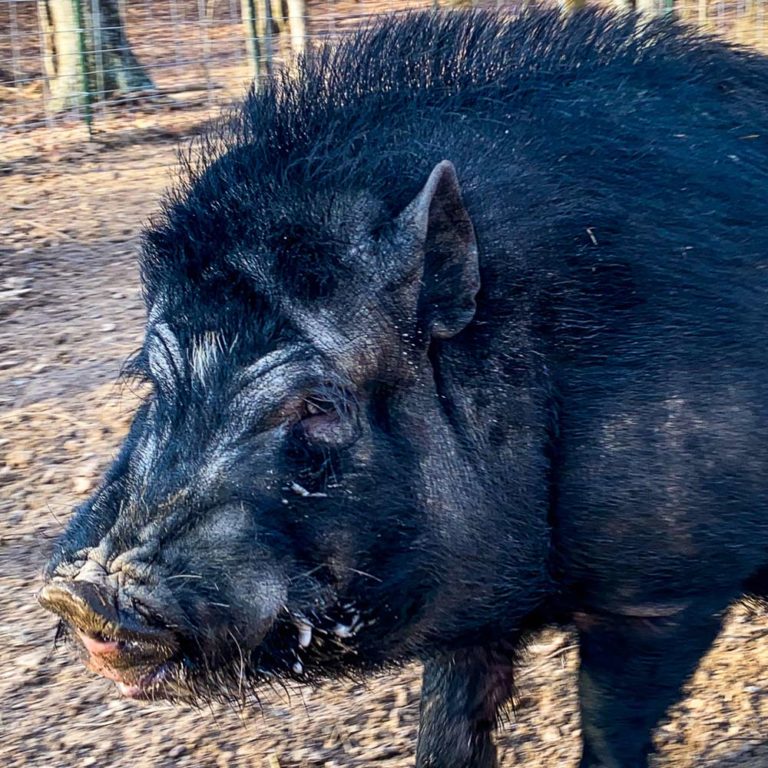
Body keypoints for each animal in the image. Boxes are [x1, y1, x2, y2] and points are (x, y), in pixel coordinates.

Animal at [39, 8, 768, 768]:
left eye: (318, 403)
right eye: (155, 379)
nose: (85, 593)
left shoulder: (666, 594)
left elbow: (608, 729)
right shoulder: (472, 610)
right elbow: (447, 728)